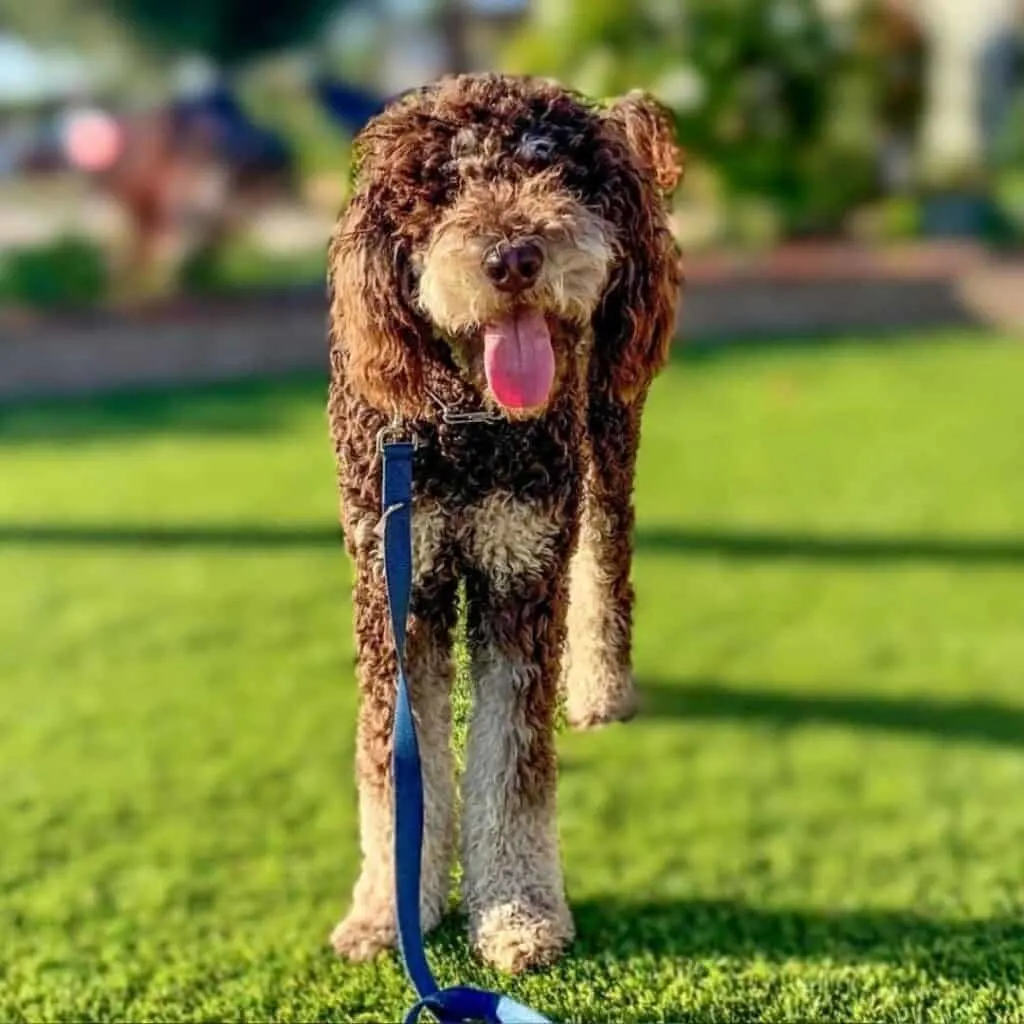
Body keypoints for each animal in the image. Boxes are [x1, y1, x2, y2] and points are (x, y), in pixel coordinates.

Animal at [323, 74, 684, 974]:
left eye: (552, 169)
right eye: (444, 186)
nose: (514, 257)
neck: (463, 421)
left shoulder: (520, 569)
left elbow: (514, 767)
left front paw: (519, 914)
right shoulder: (396, 583)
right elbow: (394, 769)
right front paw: (386, 914)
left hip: (605, 445)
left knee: (603, 566)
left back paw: (600, 691)